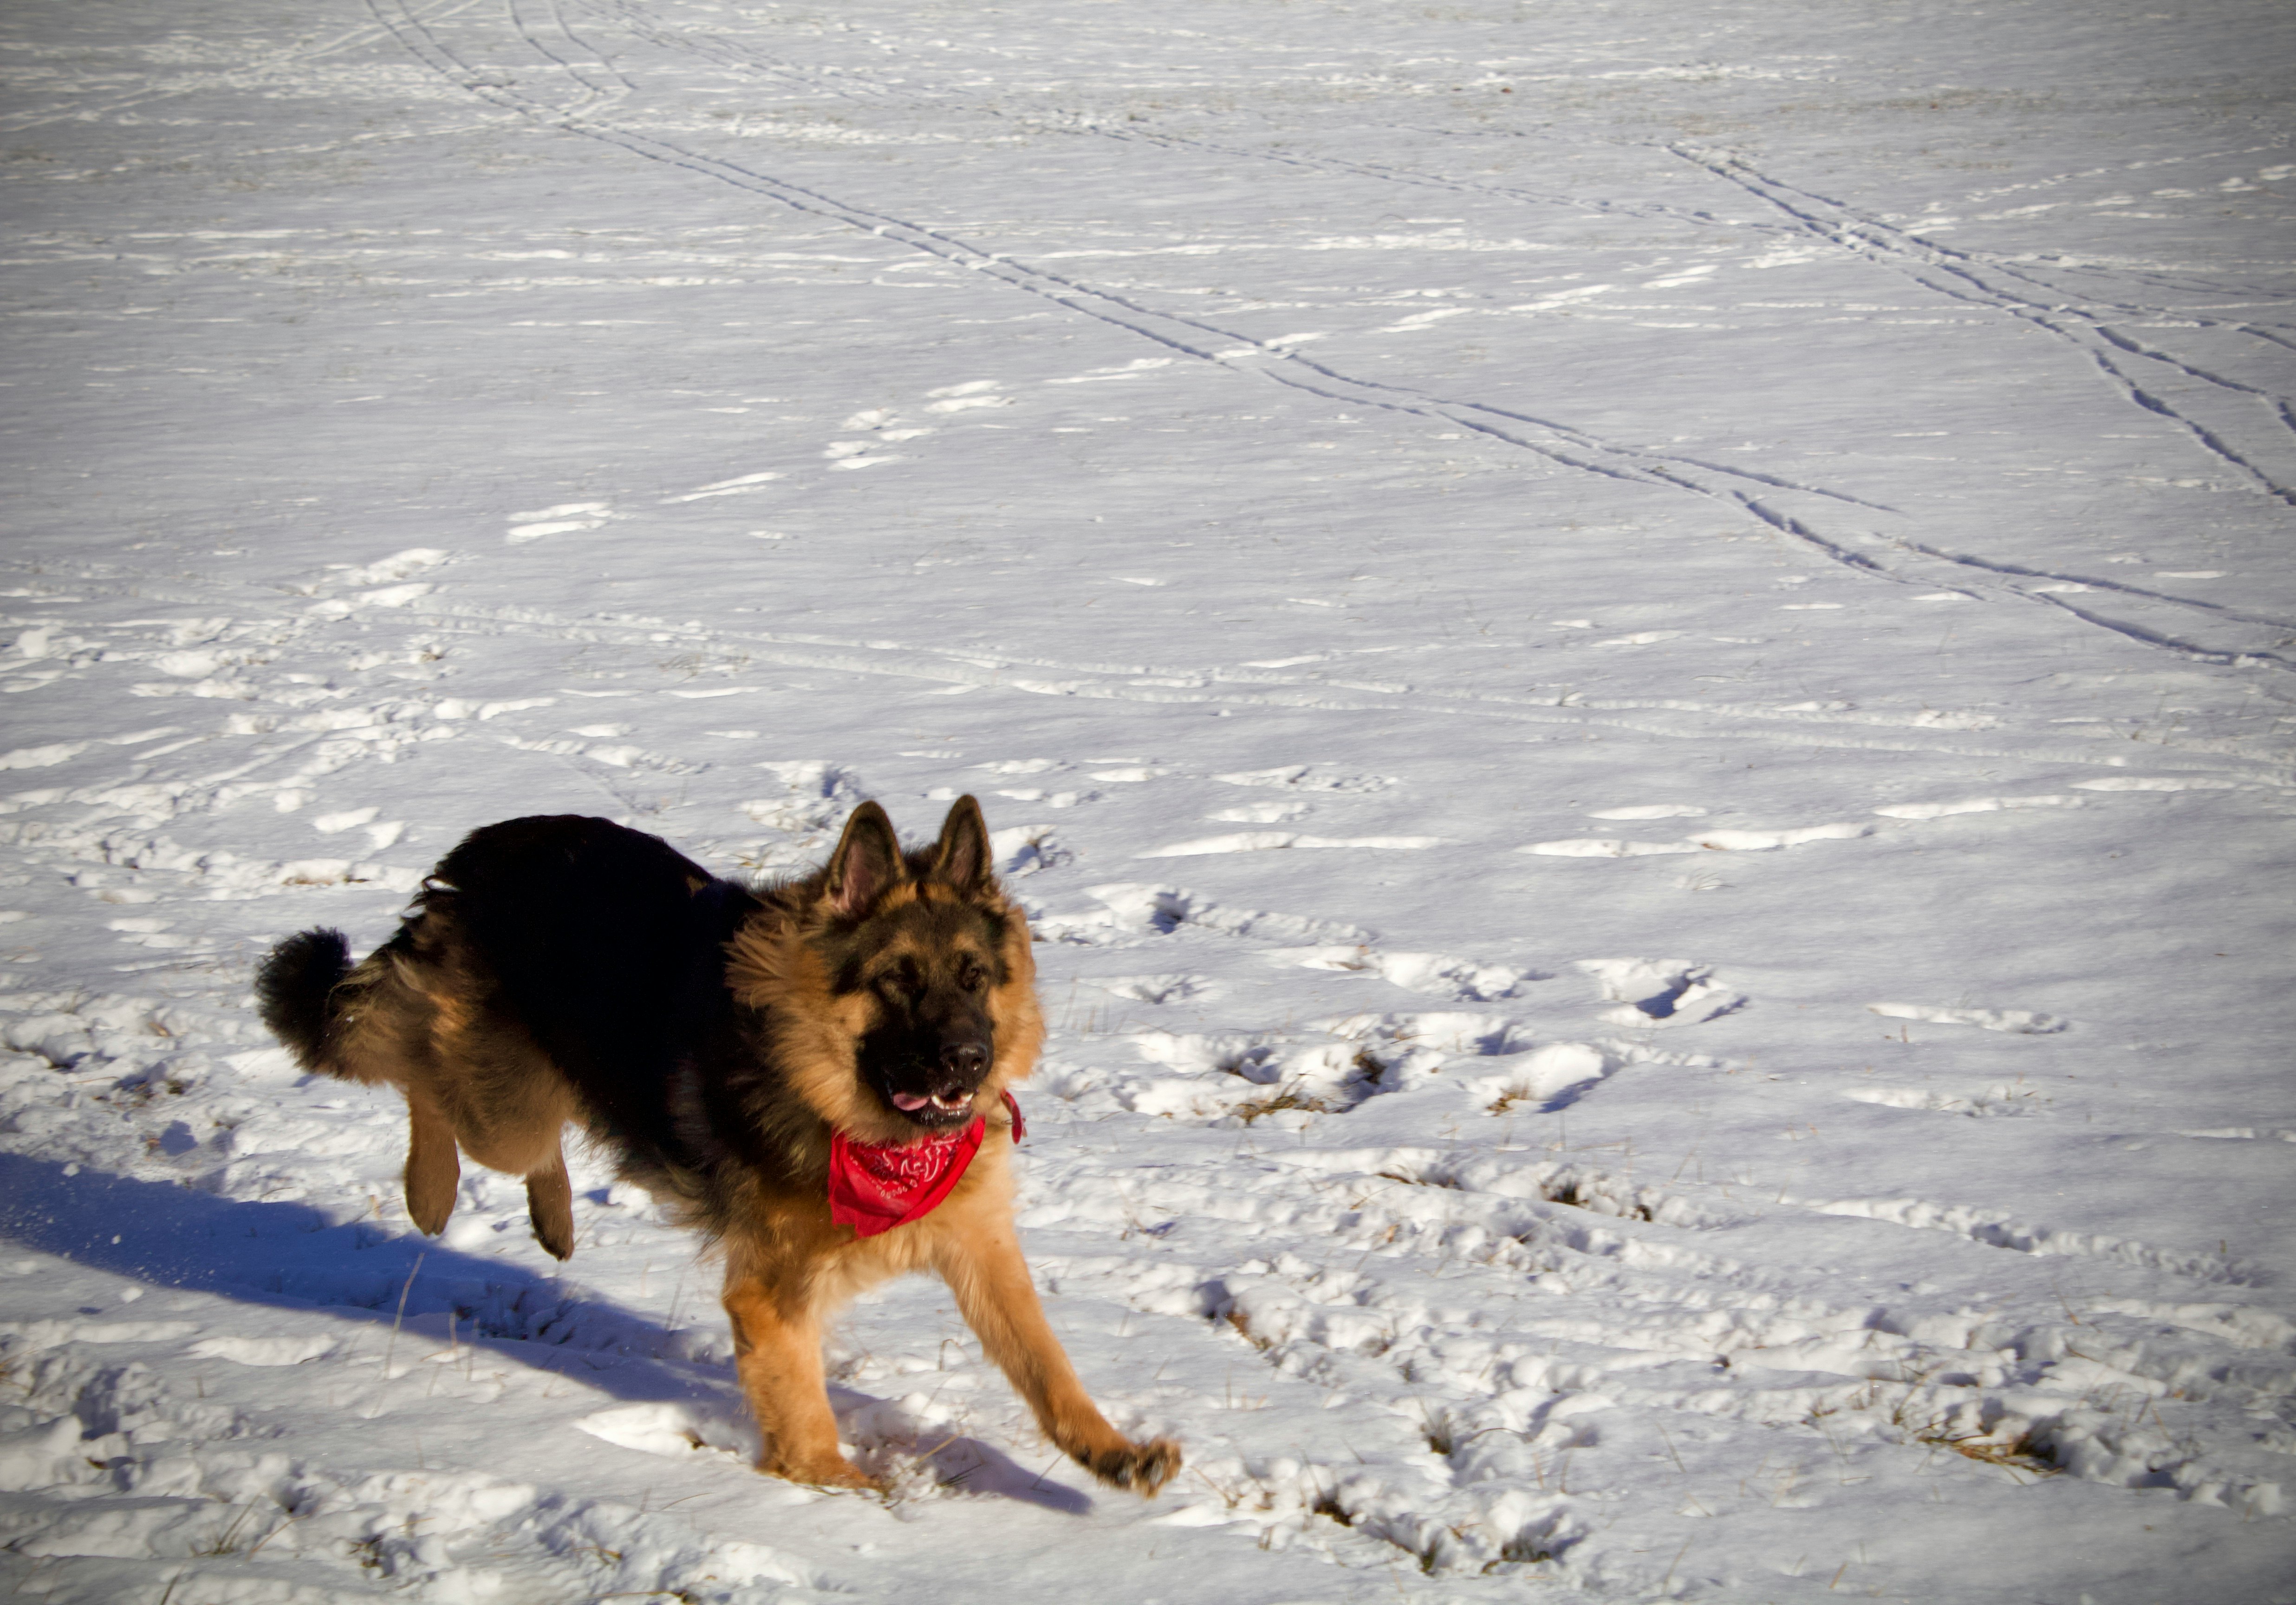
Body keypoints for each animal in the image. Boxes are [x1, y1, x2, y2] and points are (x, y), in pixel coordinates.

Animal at [260, 799, 1175, 1497]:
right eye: (898, 980)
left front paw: (1110, 1452)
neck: (848, 1115)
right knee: (413, 1063)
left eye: (974, 977)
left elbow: (1045, 1364)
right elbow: (802, 1406)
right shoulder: (771, 1298)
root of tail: (480, 850)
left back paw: (553, 1221)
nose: (970, 1061)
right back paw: (431, 1190)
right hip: (501, 1105)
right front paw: (834, 1486)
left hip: (530, 1095)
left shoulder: (980, 1250)